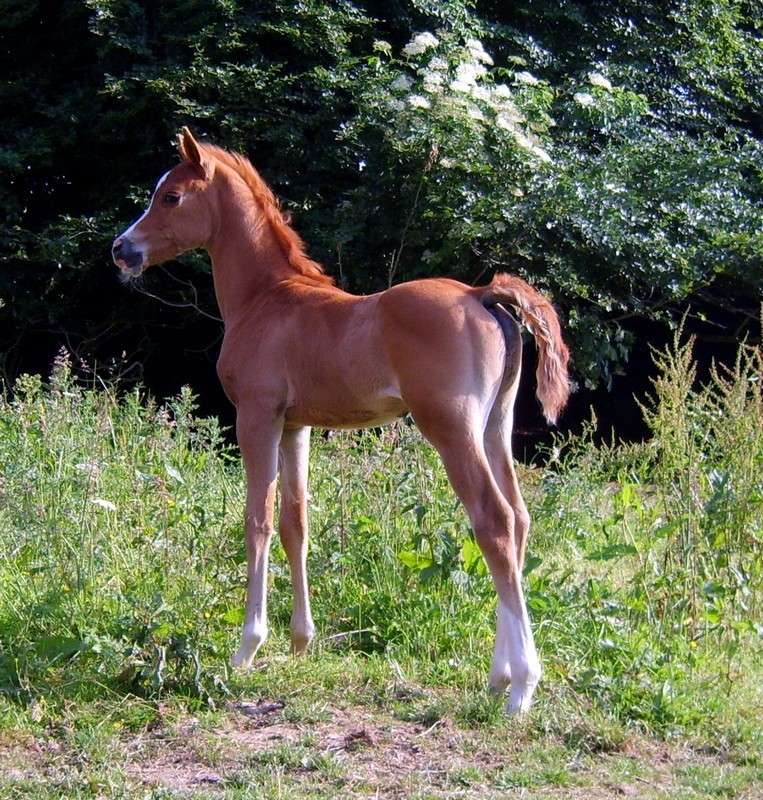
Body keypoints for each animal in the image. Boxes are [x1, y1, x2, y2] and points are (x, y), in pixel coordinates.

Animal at [112, 130, 568, 712]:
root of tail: (479, 293)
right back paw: (499, 677)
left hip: (451, 427)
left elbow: (257, 520)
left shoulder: (255, 416)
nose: (121, 249)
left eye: (170, 197)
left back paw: (521, 687)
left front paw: (248, 646)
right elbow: (295, 522)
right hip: (495, 427)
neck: (266, 299)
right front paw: (300, 641)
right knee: (521, 517)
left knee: (495, 521)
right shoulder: (294, 426)